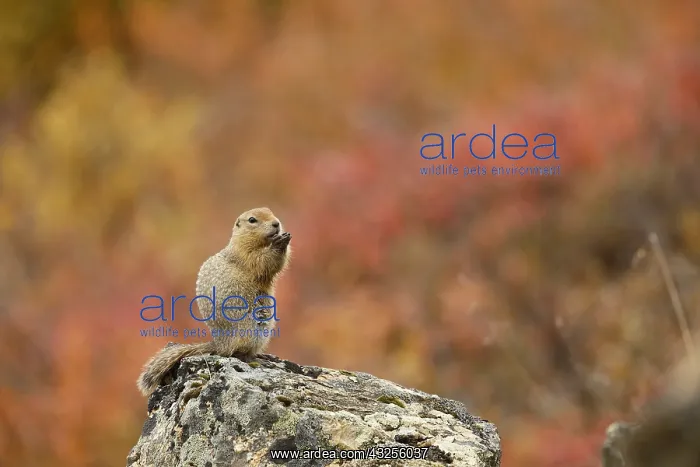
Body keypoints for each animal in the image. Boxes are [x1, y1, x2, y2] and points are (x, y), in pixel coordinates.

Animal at [137, 207, 292, 396]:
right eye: (252, 220)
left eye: (270, 211)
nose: (276, 223)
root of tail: (219, 344)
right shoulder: (245, 255)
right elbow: (262, 261)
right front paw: (279, 243)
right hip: (250, 327)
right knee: (235, 352)